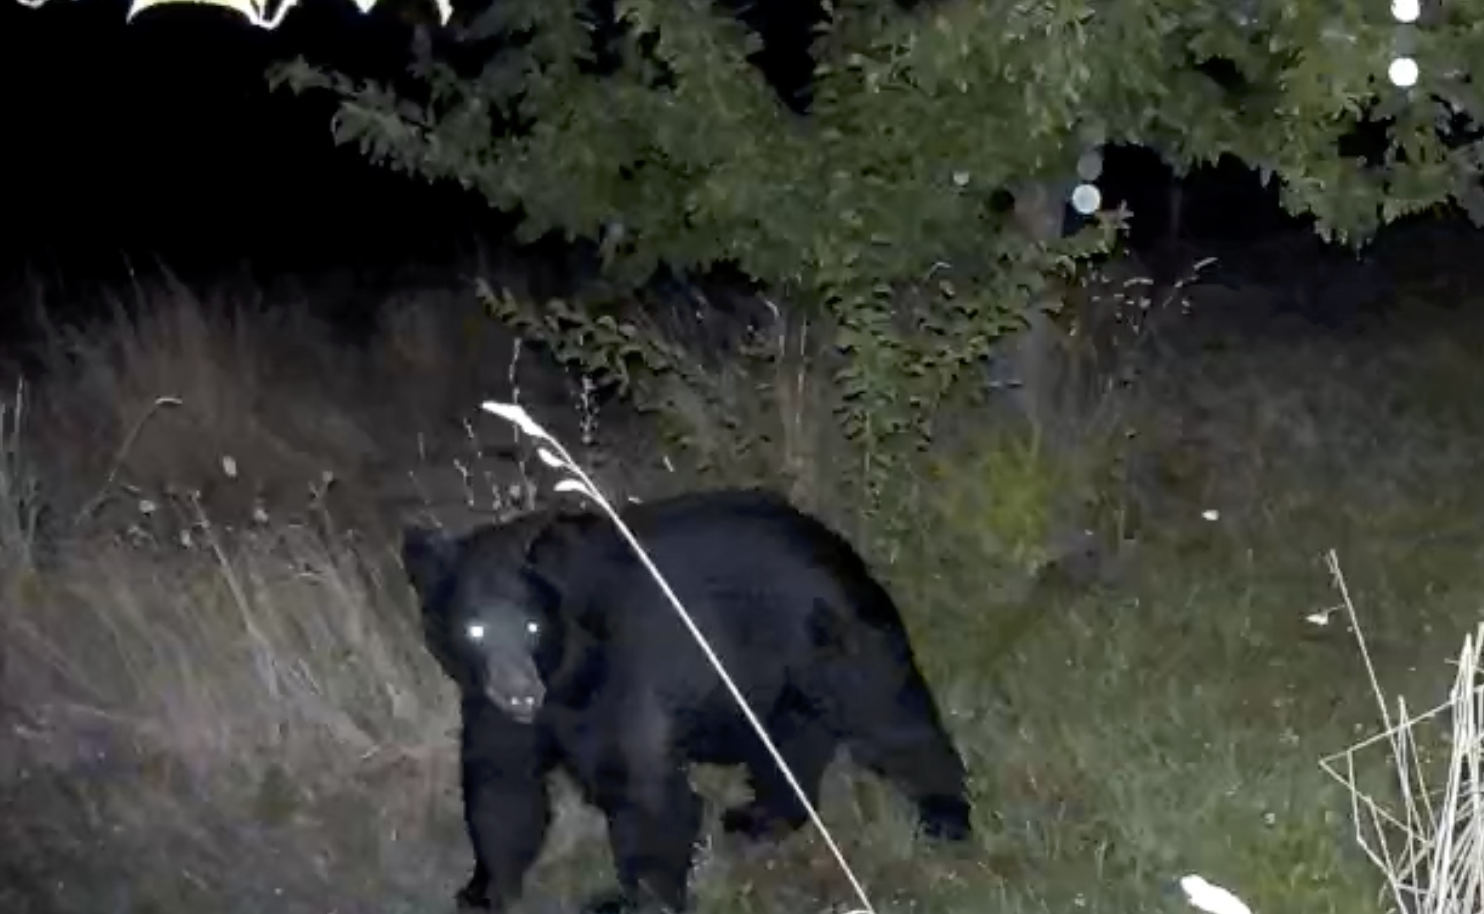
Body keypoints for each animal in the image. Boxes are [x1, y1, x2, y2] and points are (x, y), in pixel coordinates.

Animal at [401, 488, 973, 914]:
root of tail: (832, 538)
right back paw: (762, 816)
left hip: (834, 638)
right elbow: (503, 786)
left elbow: (646, 794)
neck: (567, 670)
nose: (518, 692)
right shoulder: (488, 704)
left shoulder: (625, 673)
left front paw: (629, 900)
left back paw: (946, 817)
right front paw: (481, 890)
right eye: (474, 628)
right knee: (792, 742)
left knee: (888, 717)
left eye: (531, 626)